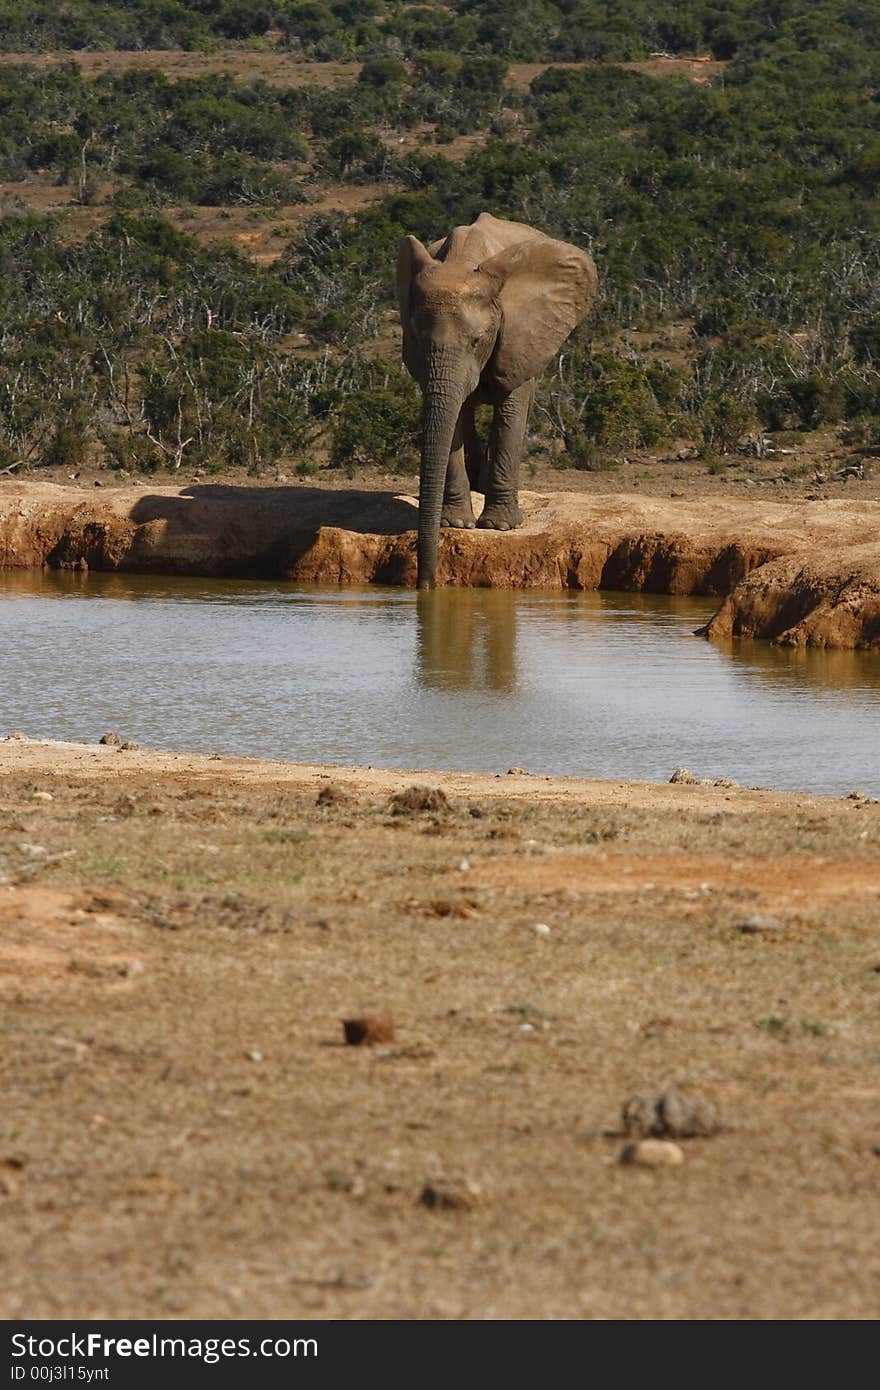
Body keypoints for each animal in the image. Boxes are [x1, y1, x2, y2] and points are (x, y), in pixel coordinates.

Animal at [397, 208, 597, 589]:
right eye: (414, 337)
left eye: (478, 341)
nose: (426, 585)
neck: (463, 261)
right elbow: (455, 415)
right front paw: (456, 524)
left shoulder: (519, 331)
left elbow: (511, 408)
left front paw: (500, 527)